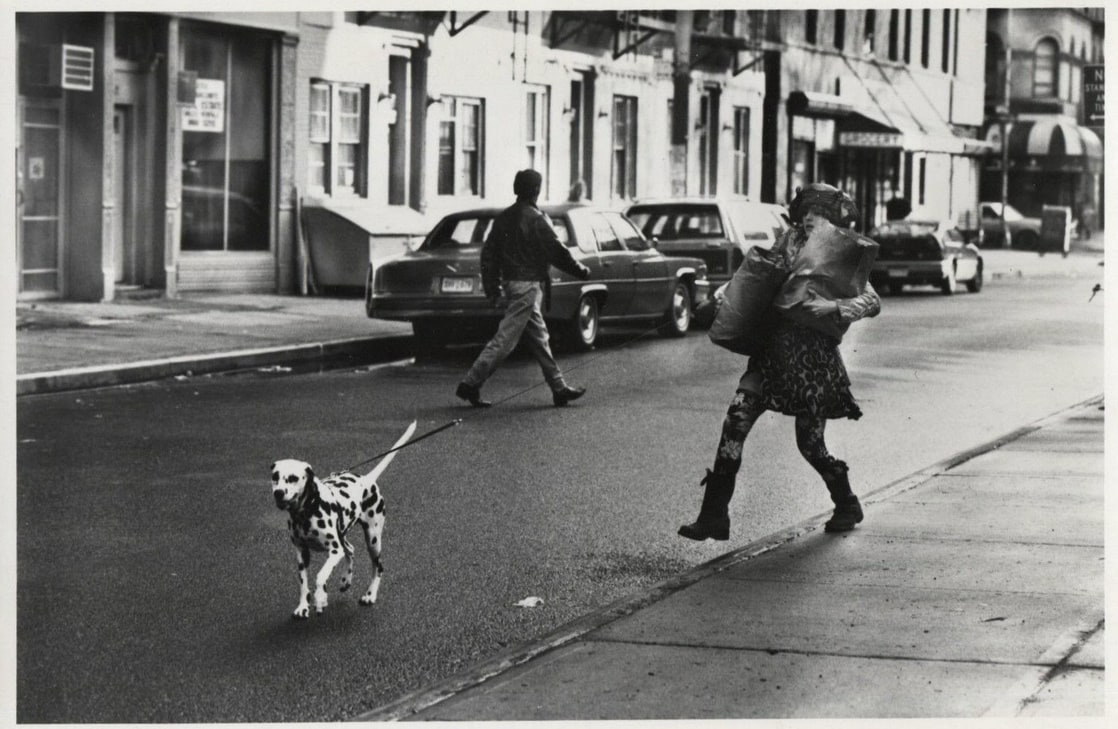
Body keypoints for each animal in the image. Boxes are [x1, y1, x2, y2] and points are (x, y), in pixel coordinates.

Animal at [269, 418, 415, 617]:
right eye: (275, 477)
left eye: (293, 478)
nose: (278, 493)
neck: (306, 512)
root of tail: (367, 479)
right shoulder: (301, 553)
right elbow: (303, 584)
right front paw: (303, 606)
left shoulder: (334, 550)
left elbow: (321, 576)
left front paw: (320, 598)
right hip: (343, 535)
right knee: (351, 549)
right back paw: (346, 580)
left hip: (373, 540)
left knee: (378, 567)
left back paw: (370, 595)